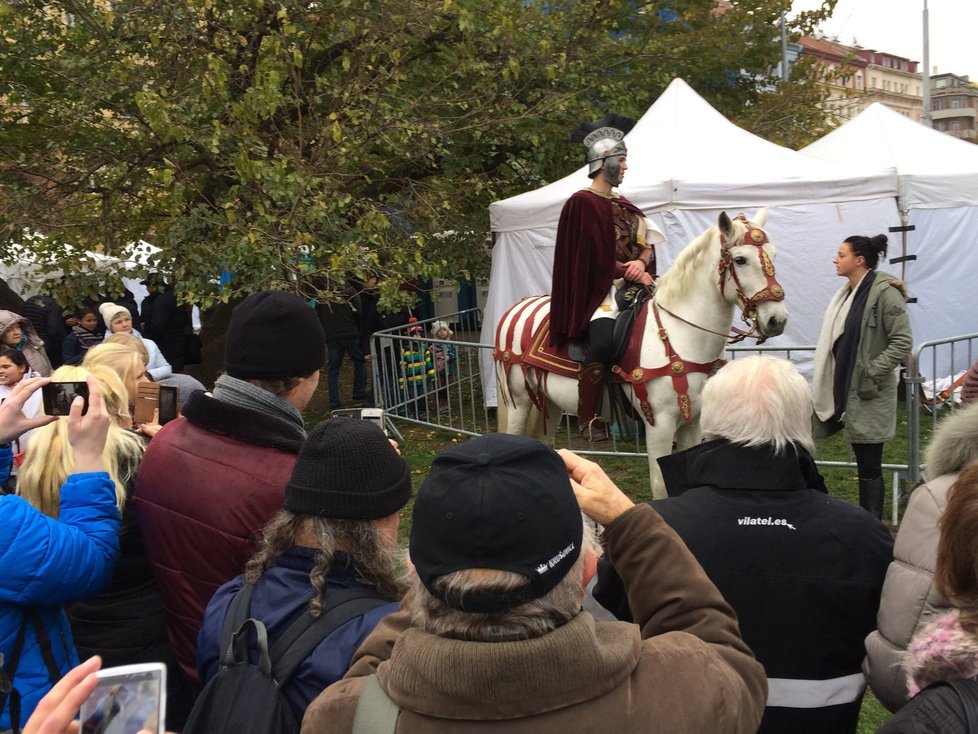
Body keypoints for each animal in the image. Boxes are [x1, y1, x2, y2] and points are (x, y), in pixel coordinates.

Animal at [496, 208, 784, 500]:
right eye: (740, 260)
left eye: (773, 255)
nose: (777, 320)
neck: (680, 333)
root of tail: (517, 307)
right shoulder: (660, 425)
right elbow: (660, 485)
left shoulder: (693, 423)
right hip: (520, 401)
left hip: (550, 403)